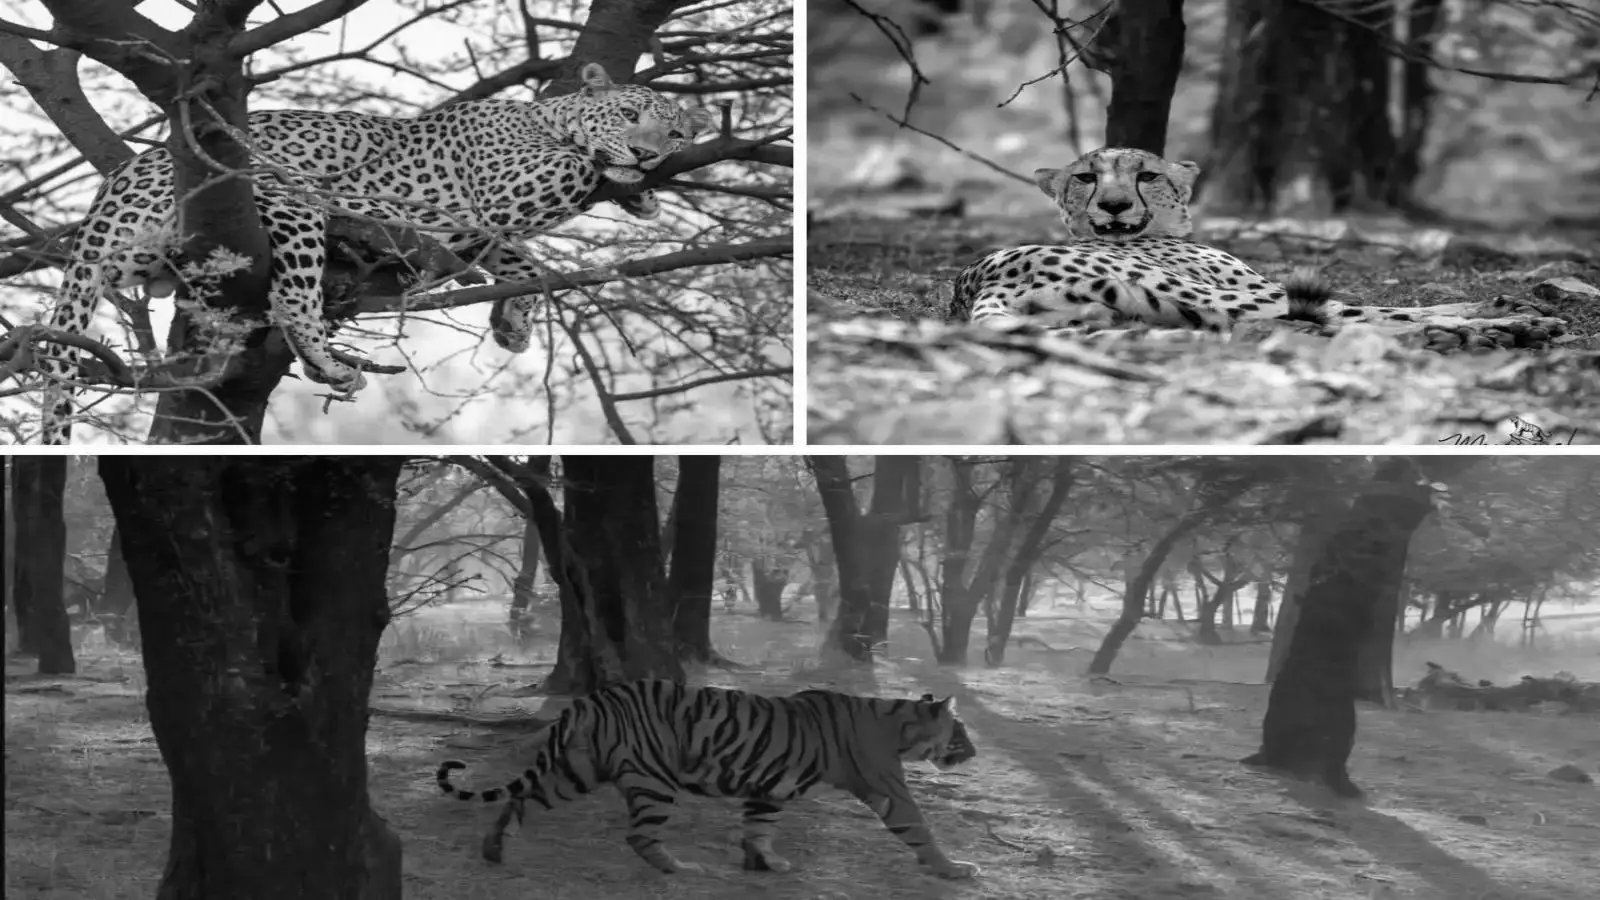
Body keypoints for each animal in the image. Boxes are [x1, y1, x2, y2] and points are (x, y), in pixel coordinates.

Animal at [34, 62, 715, 444]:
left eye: (676, 133)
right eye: (627, 114)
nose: (650, 155)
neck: (542, 117)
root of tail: (110, 190)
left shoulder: (478, 229)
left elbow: (519, 261)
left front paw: (514, 321)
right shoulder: (504, 188)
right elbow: (566, 178)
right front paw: (629, 186)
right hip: (290, 201)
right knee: (291, 295)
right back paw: (327, 362)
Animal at [434, 678, 980, 878]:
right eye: (960, 733)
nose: (974, 753)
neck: (897, 724)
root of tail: (592, 699)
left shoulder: (767, 790)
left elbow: (758, 828)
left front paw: (765, 863)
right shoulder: (889, 791)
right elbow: (921, 830)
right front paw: (955, 869)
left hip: (577, 770)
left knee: (520, 800)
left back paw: (494, 848)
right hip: (654, 780)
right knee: (639, 834)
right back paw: (679, 867)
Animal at [947, 147, 1567, 348]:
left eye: (1146, 175)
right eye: (1085, 178)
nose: (1116, 205)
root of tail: (980, 280)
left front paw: (1506, 303)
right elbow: (1395, 305)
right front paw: (1504, 309)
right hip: (1230, 300)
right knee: (1353, 320)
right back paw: (1505, 330)